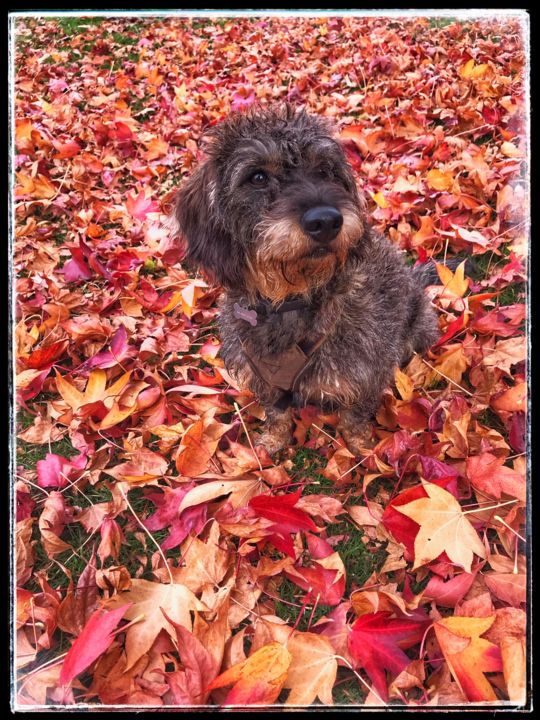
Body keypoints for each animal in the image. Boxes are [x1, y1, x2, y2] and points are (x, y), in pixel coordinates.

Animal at [173, 105, 438, 456]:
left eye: (326, 170)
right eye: (257, 177)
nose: (326, 221)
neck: (290, 299)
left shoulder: (366, 373)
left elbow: (354, 417)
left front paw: (362, 448)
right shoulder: (265, 379)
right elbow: (277, 413)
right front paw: (273, 440)